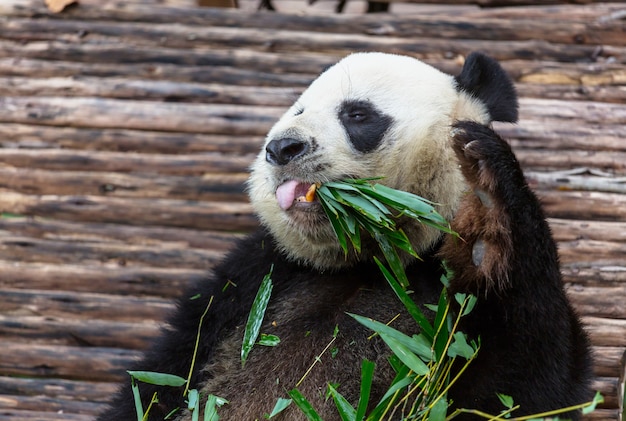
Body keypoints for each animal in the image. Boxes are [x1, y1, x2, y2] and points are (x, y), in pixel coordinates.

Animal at [97, 52, 588, 420]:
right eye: (297, 111)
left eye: (357, 114)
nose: (282, 147)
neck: (371, 261)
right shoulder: (254, 281)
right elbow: (160, 381)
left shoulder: (454, 307)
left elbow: (527, 386)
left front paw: (488, 214)